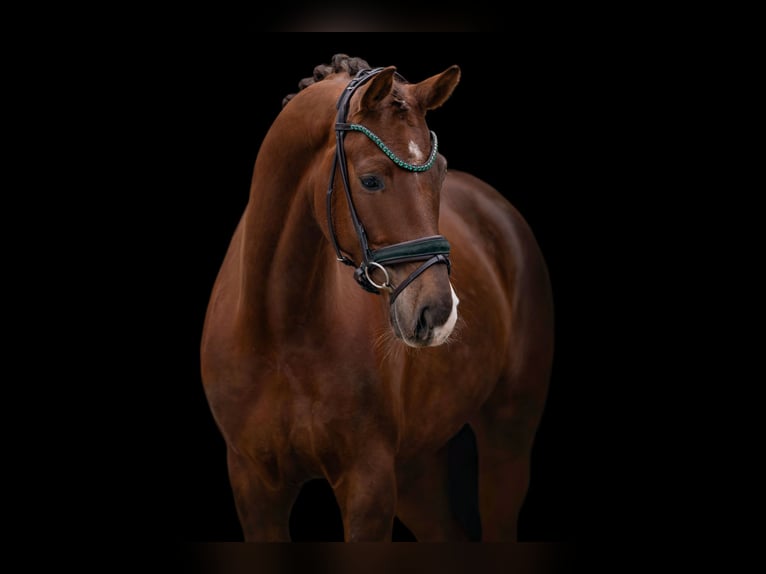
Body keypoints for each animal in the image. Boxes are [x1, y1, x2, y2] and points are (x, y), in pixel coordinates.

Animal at [200, 54, 554, 541]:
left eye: (440, 170)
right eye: (369, 180)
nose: (437, 313)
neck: (281, 330)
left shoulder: (368, 483)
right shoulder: (254, 486)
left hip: (508, 433)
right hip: (416, 465)